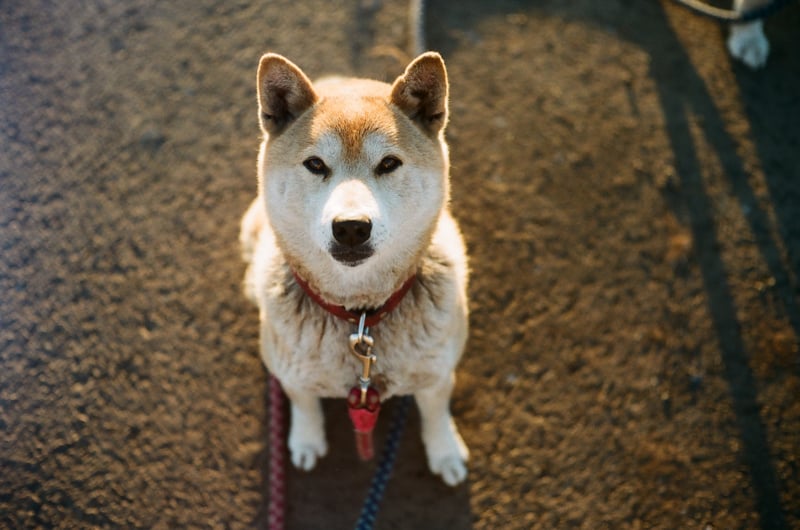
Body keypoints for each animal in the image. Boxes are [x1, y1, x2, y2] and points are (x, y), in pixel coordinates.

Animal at [241, 51, 472, 484]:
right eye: (315, 164)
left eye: (389, 163)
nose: (351, 227)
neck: (361, 316)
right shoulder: (291, 374)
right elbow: (304, 404)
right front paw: (306, 441)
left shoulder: (437, 374)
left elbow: (435, 414)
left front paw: (445, 452)